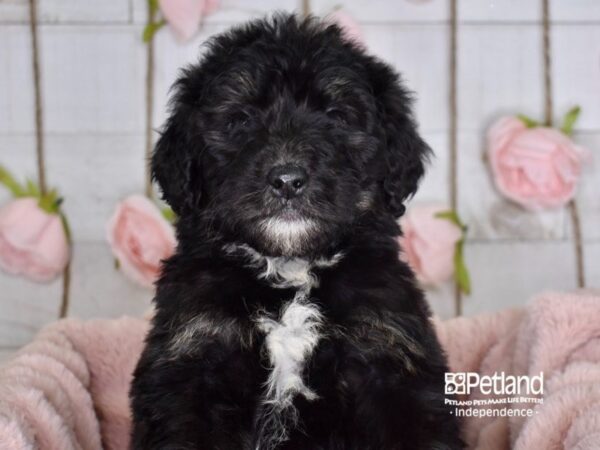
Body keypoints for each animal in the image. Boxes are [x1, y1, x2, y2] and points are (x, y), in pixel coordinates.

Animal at [130, 14, 460, 450]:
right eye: (240, 120)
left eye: (337, 116)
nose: (287, 180)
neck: (290, 271)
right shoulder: (192, 356)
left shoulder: (389, 354)